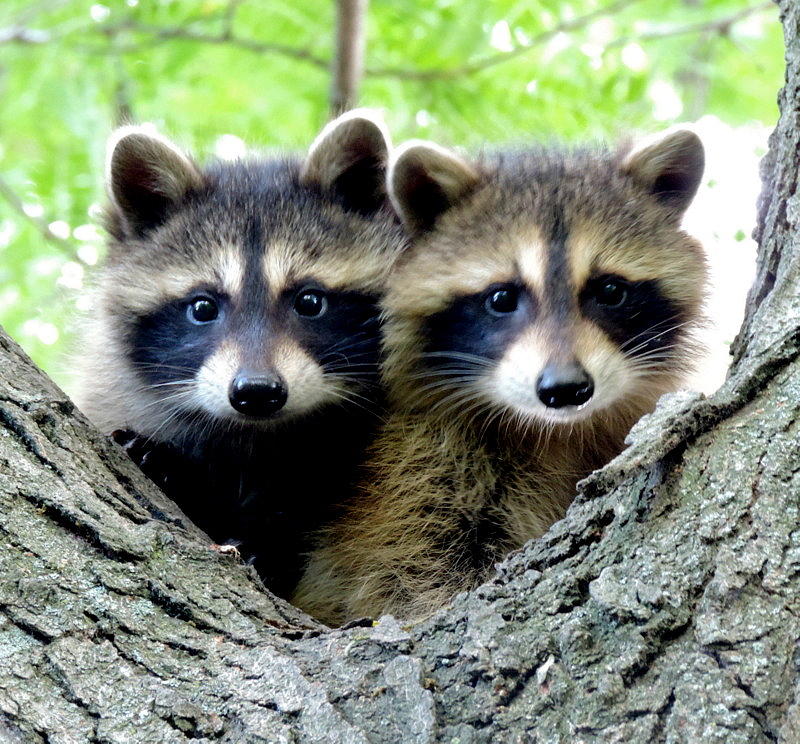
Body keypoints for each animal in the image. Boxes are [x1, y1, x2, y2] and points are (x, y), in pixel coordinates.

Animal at [292, 128, 708, 620]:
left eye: (610, 291)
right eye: (502, 298)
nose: (565, 389)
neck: (551, 431)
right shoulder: (416, 461)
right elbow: (405, 568)